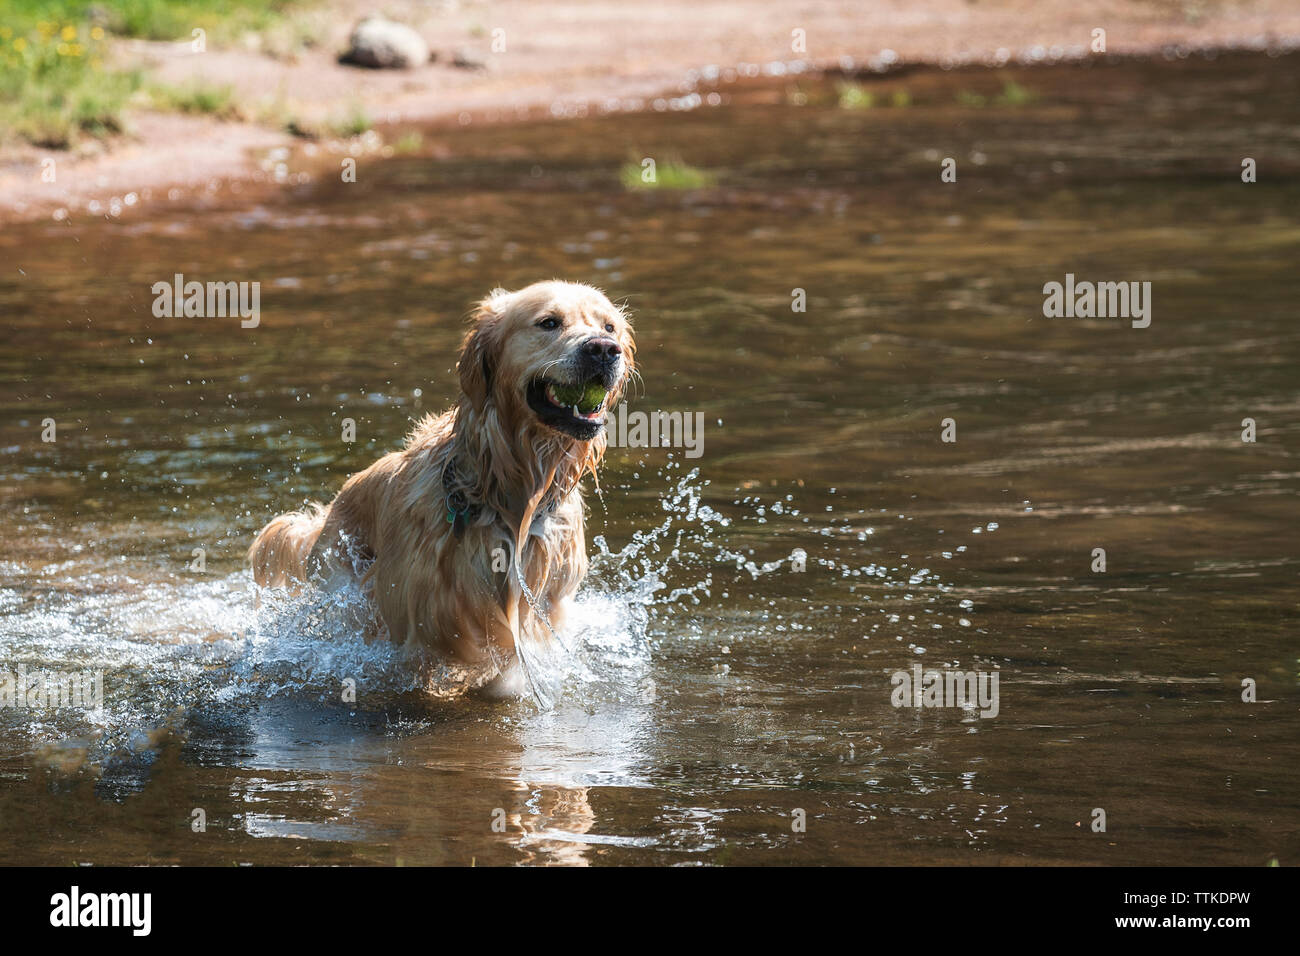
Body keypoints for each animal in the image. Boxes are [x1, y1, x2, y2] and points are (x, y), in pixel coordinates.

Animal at [248, 280, 634, 697]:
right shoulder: (419, 637)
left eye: (610, 327)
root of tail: (328, 512)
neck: (508, 498)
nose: (604, 350)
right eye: (549, 322)